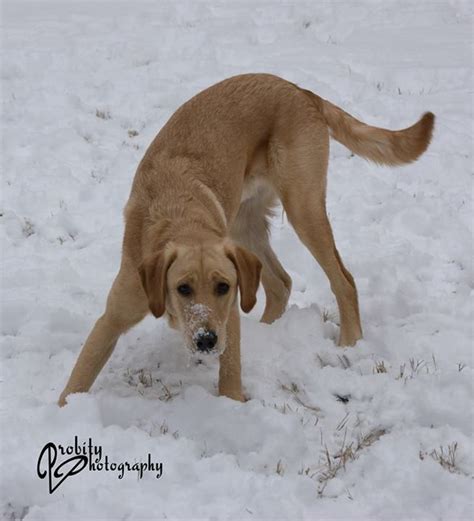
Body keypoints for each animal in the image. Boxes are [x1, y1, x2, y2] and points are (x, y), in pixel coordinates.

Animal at [58, 74, 434, 406]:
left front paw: (230, 407)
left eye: (223, 287)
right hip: (244, 226)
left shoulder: (229, 317)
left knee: (344, 279)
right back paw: (269, 333)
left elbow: (230, 376)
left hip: (302, 208)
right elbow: (77, 379)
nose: (206, 340)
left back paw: (349, 343)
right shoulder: (112, 317)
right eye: (183, 288)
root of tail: (299, 90)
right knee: (281, 283)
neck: (181, 218)